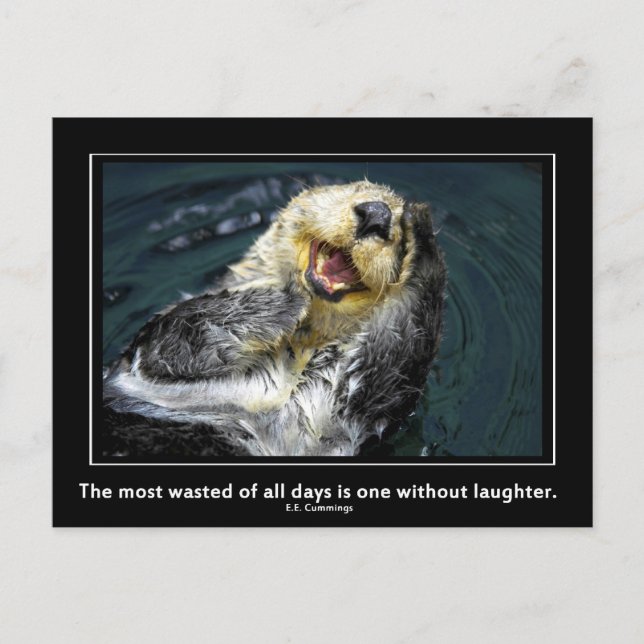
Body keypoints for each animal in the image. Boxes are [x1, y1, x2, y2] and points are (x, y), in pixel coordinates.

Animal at [103, 180, 447, 457]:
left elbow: (392, 359)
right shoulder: (148, 351)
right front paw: (289, 298)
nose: (377, 214)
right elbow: (178, 335)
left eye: (399, 233)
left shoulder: (336, 419)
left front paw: (422, 232)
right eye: (357, 189)